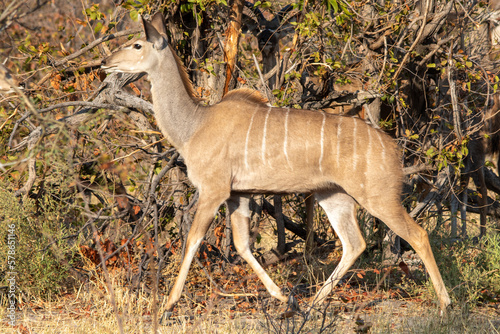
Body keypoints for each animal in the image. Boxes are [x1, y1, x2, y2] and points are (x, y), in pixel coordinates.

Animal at [101, 12, 454, 316]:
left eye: (137, 44)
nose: (106, 62)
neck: (195, 125)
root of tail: (393, 148)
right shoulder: (238, 195)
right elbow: (242, 245)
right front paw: (285, 298)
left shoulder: (214, 190)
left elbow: (193, 239)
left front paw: (167, 304)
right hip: (333, 196)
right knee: (354, 243)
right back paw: (312, 305)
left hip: (378, 197)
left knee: (418, 235)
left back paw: (445, 305)